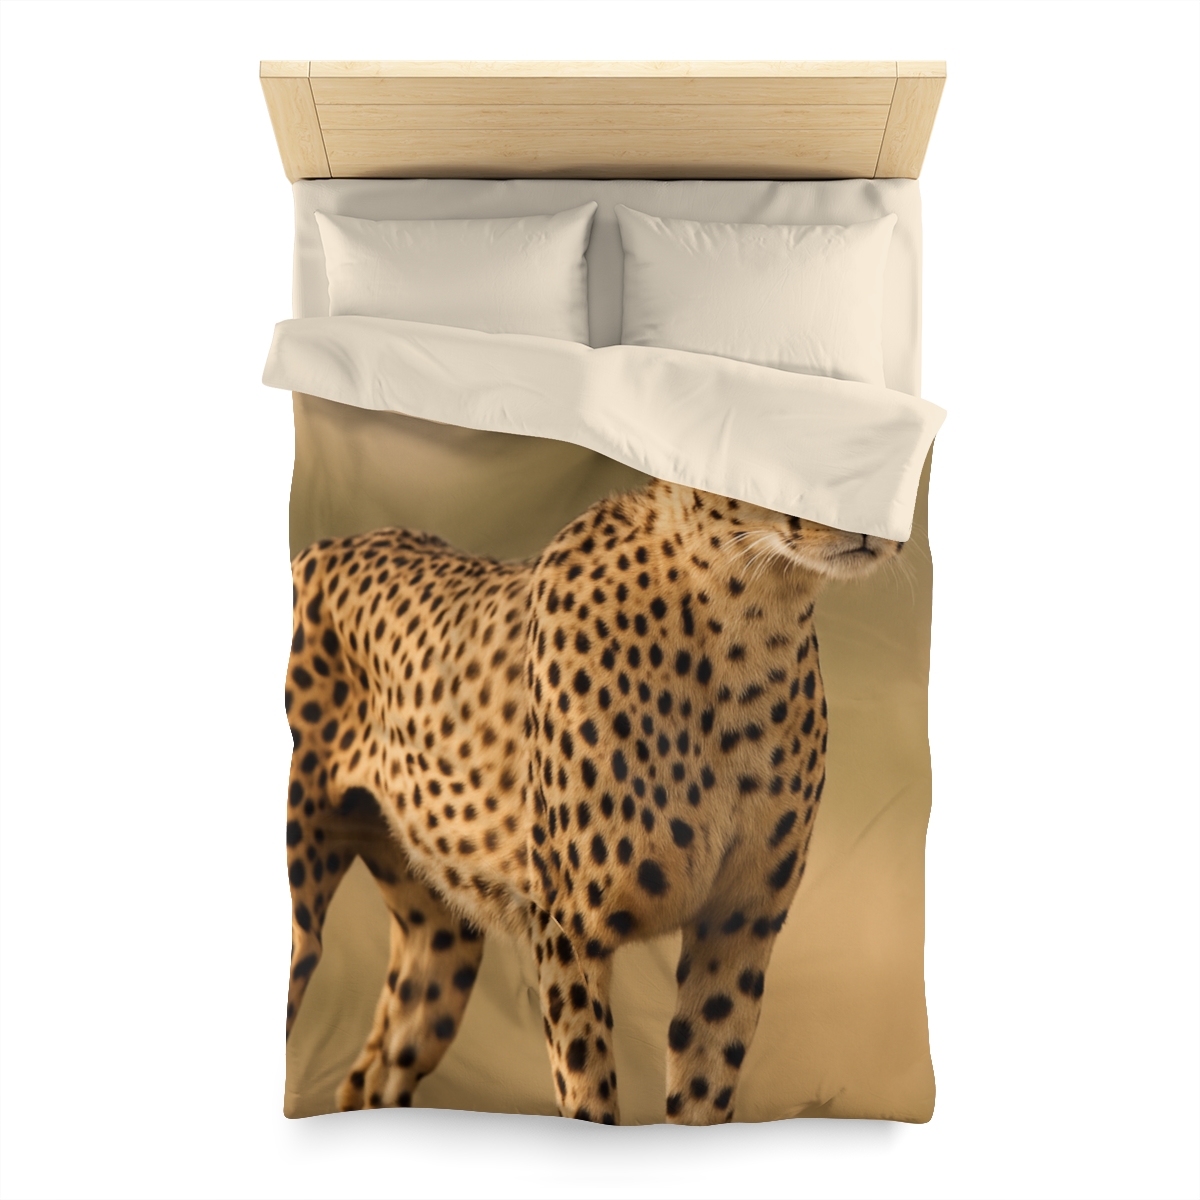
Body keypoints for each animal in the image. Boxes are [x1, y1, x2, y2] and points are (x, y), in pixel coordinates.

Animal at [283, 478, 902, 1125]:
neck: (747, 618)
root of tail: (322, 545)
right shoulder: (568, 927)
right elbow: (588, 1091)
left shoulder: (738, 924)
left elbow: (703, 1086)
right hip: (303, 919)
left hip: (441, 944)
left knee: (371, 1075)